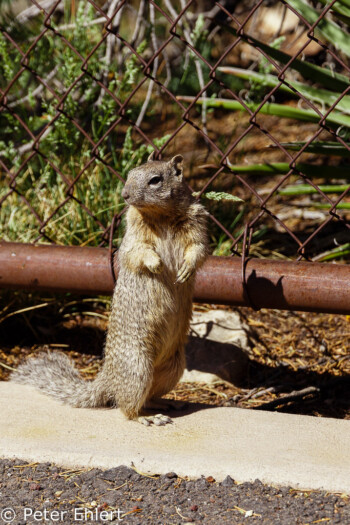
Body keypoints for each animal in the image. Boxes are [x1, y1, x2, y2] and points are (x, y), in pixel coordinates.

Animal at [10, 152, 208, 426]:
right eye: (130, 173)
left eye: (155, 180)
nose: (125, 194)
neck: (161, 214)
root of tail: (108, 377)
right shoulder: (132, 237)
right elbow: (137, 253)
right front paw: (157, 265)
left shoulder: (197, 223)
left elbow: (198, 249)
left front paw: (186, 269)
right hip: (138, 368)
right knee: (126, 407)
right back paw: (148, 418)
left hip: (173, 368)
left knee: (147, 396)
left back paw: (164, 403)